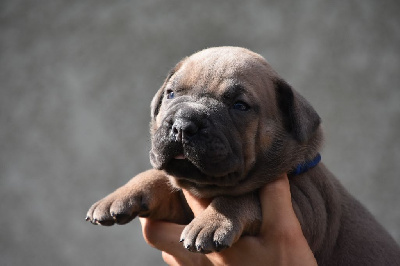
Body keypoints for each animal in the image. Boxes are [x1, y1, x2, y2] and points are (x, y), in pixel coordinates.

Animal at [85, 46, 400, 264]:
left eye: (239, 106)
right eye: (171, 94)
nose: (183, 124)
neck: (208, 187)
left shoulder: (304, 206)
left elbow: (245, 196)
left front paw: (213, 221)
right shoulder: (183, 205)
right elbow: (160, 178)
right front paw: (119, 196)